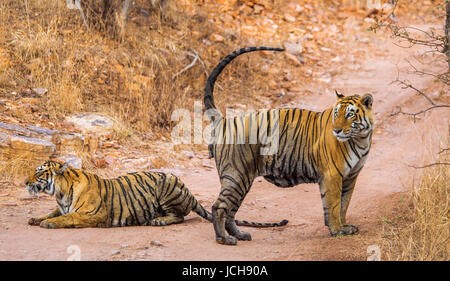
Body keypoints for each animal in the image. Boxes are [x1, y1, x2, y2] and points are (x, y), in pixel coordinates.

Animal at [24, 160, 286, 228]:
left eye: (39, 172)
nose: (23, 182)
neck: (60, 193)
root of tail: (189, 192)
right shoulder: (60, 205)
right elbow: (52, 212)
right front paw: (36, 219)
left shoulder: (92, 215)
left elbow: (67, 217)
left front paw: (49, 224)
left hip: (167, 186)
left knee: (179, 216)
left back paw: (158, 220)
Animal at [203, 46, 372, 243]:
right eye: (336, 114)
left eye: (350, 114)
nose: (336, 131)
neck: (360, 138)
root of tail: (224, 121)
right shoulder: (332, 175)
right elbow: (334, 205)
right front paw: (337, 230)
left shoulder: (351, 176)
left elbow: (344, 204)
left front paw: (345, 226)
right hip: (236, 175)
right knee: (219, 206)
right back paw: (224, 239)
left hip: (242, 179)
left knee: (231, 210)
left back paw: (240, 235)